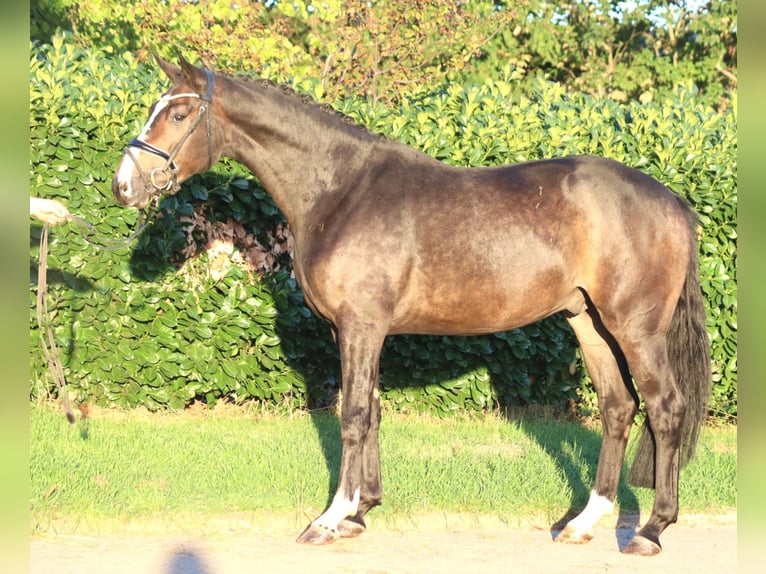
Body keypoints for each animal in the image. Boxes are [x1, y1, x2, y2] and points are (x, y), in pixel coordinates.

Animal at [112, 56, 710, 556]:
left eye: (180, 112)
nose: (123, 186)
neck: (340, 190)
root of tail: (673, 202)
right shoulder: (355, 330)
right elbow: (372, 410)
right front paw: (361, 512)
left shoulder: (361, 326)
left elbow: (353, 415)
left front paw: (329, 520)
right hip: (588, 322)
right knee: (617, 408)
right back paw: (585, 523)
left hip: (635, 328)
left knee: (665, 408)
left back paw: (652, 530)